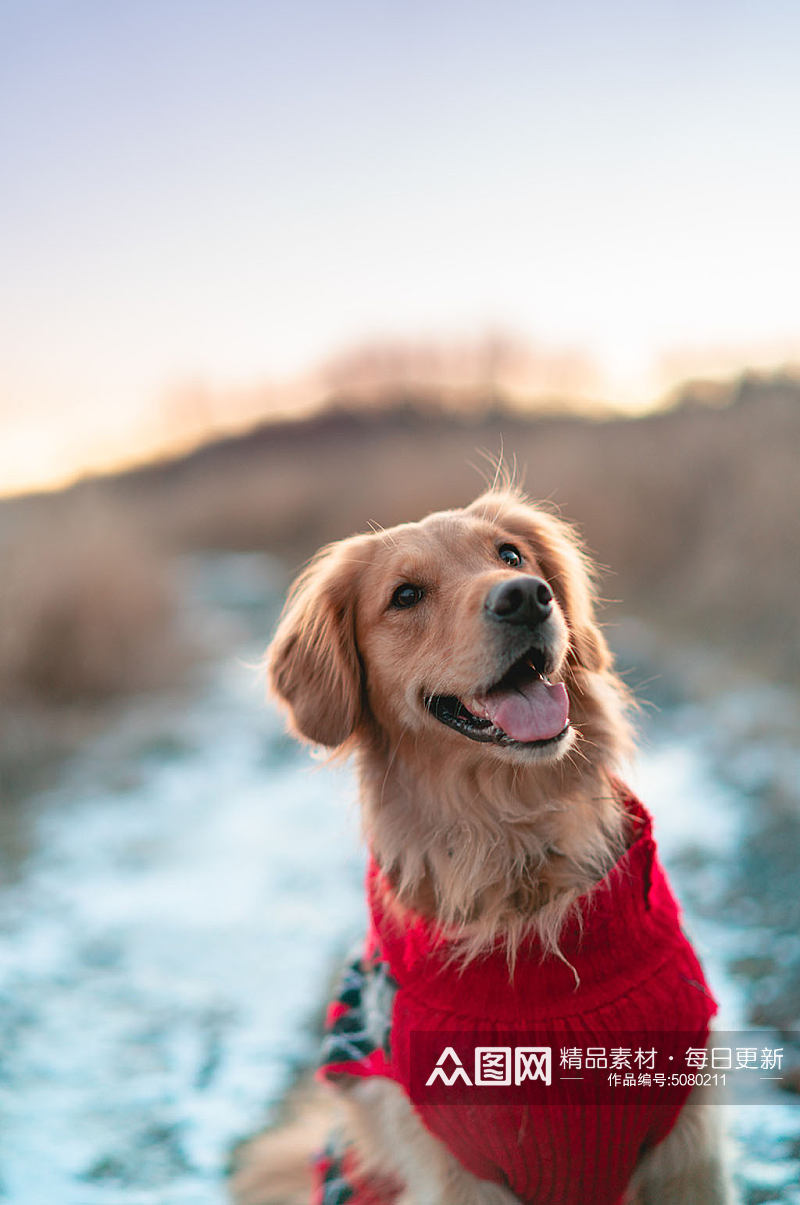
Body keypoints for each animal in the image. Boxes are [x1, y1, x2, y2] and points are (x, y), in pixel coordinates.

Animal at [230, 489, 732, 1205]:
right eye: (405, 595)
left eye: (511, 555)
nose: (525, 598)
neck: (513, 843)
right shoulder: (455, 1170)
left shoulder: (688, 1146)